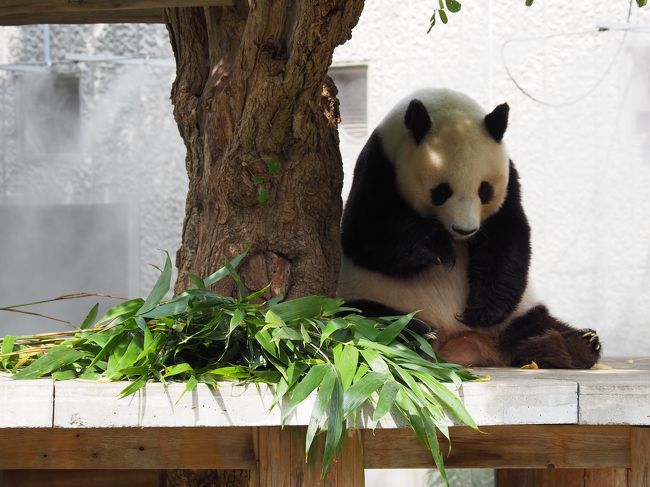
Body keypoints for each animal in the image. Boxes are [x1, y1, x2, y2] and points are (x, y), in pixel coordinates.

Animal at [336, 88, 600, 370]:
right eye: (441, 191)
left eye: (484, 190)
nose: (464, 230)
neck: (443, 105)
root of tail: (462, 345)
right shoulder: (380, 165)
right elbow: (366, 236)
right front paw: (438, 249)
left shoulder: (509, 180)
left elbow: (507, 241)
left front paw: (480, 311)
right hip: (374, 297)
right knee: (368, 319)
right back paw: (417, 335)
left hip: (518, 313)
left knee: (535, 324)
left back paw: (568, 345)